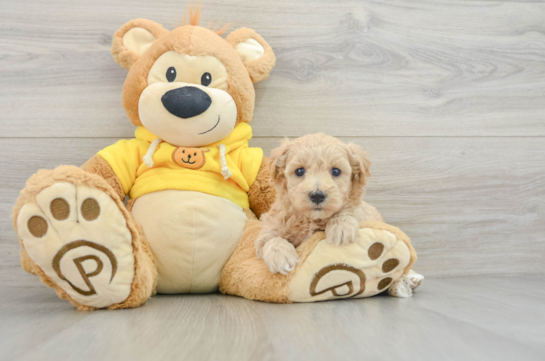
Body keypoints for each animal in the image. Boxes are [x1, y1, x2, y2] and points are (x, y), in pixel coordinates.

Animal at [255, 134, 382, 274]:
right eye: (299, 171)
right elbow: (269, 239)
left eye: (336, 171)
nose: (317, 195)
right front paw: (281, 255)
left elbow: (350, 208)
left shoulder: (363, 213)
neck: (311, 219)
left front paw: (341, 226)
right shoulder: (272, 223)